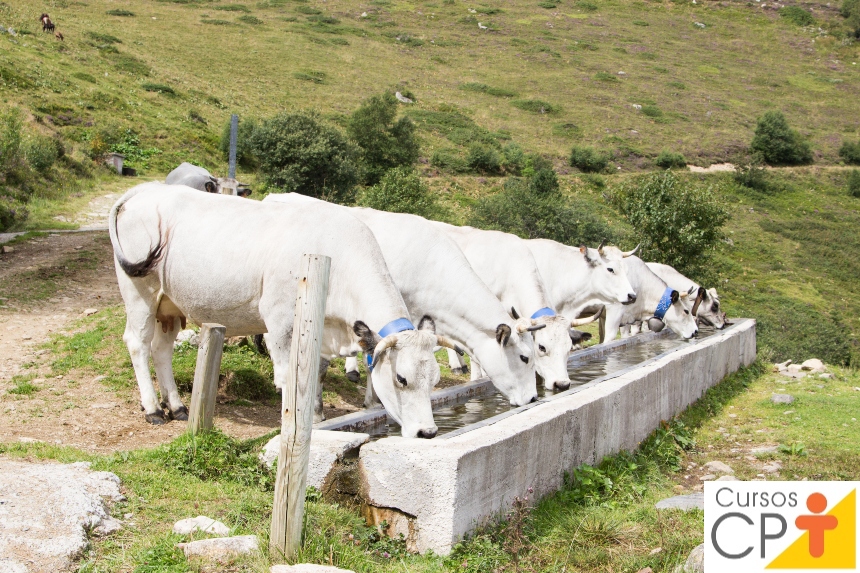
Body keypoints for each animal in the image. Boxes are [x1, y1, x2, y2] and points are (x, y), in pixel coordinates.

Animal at [111, 185, 460, 436]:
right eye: (401, 379)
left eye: (434, 379)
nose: (428, 432)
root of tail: (145, 189)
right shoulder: (279, 322)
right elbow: (288, 378)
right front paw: (292, 424)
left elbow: (314, 373)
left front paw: (315, 419)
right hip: (140, 293)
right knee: (138, 344)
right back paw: (154, 409)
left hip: (168, 304)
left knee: (161, 349)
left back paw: (177, 406)